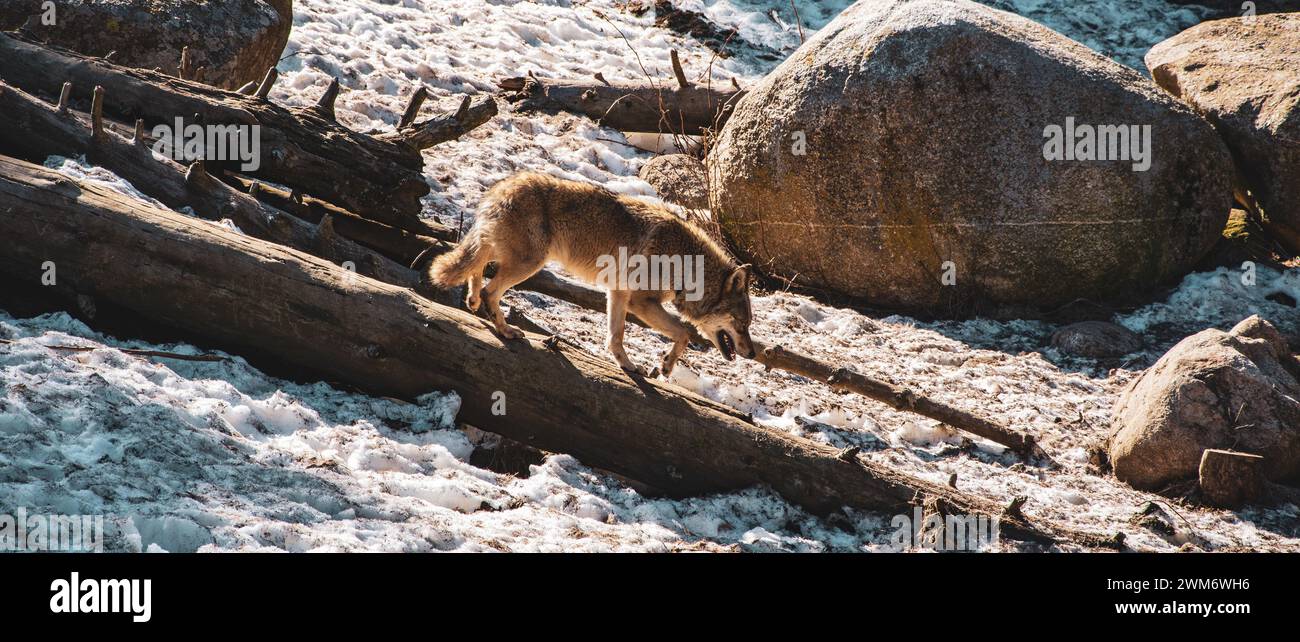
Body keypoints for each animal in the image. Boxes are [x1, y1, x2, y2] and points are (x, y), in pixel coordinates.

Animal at [428, 171, 754, 376]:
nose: (751, 353)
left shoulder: (619, 294)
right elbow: (685, 333)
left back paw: (472, 300)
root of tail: (499, 188)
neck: (686, 265)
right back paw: (506, 330)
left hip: (509, 255)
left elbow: (615, 336)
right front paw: (665, 366)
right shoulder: (641, 302)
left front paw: (628, 366)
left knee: (476, 267)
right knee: (489, 290)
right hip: (529, 264)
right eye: (741, 324)